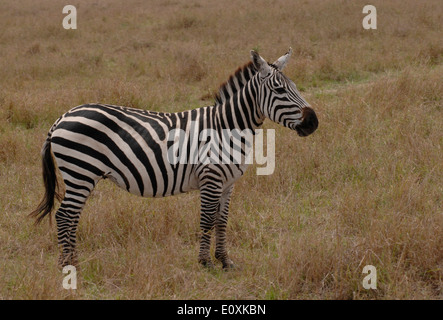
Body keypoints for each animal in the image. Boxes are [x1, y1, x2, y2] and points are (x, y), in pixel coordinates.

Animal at [29, 48, 318, 268]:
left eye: (295, 87)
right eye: (280, 91)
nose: (313, 122)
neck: (227, 127)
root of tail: (62, 117)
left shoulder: (228, 184)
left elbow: (222, 221)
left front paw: (225, 261)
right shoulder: (210, 178)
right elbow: (207, 219)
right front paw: (205, 263)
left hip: (80, 175)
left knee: (71, 216)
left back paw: (73, 261)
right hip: (81, 172)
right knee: (65, 215)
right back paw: (69, 265)